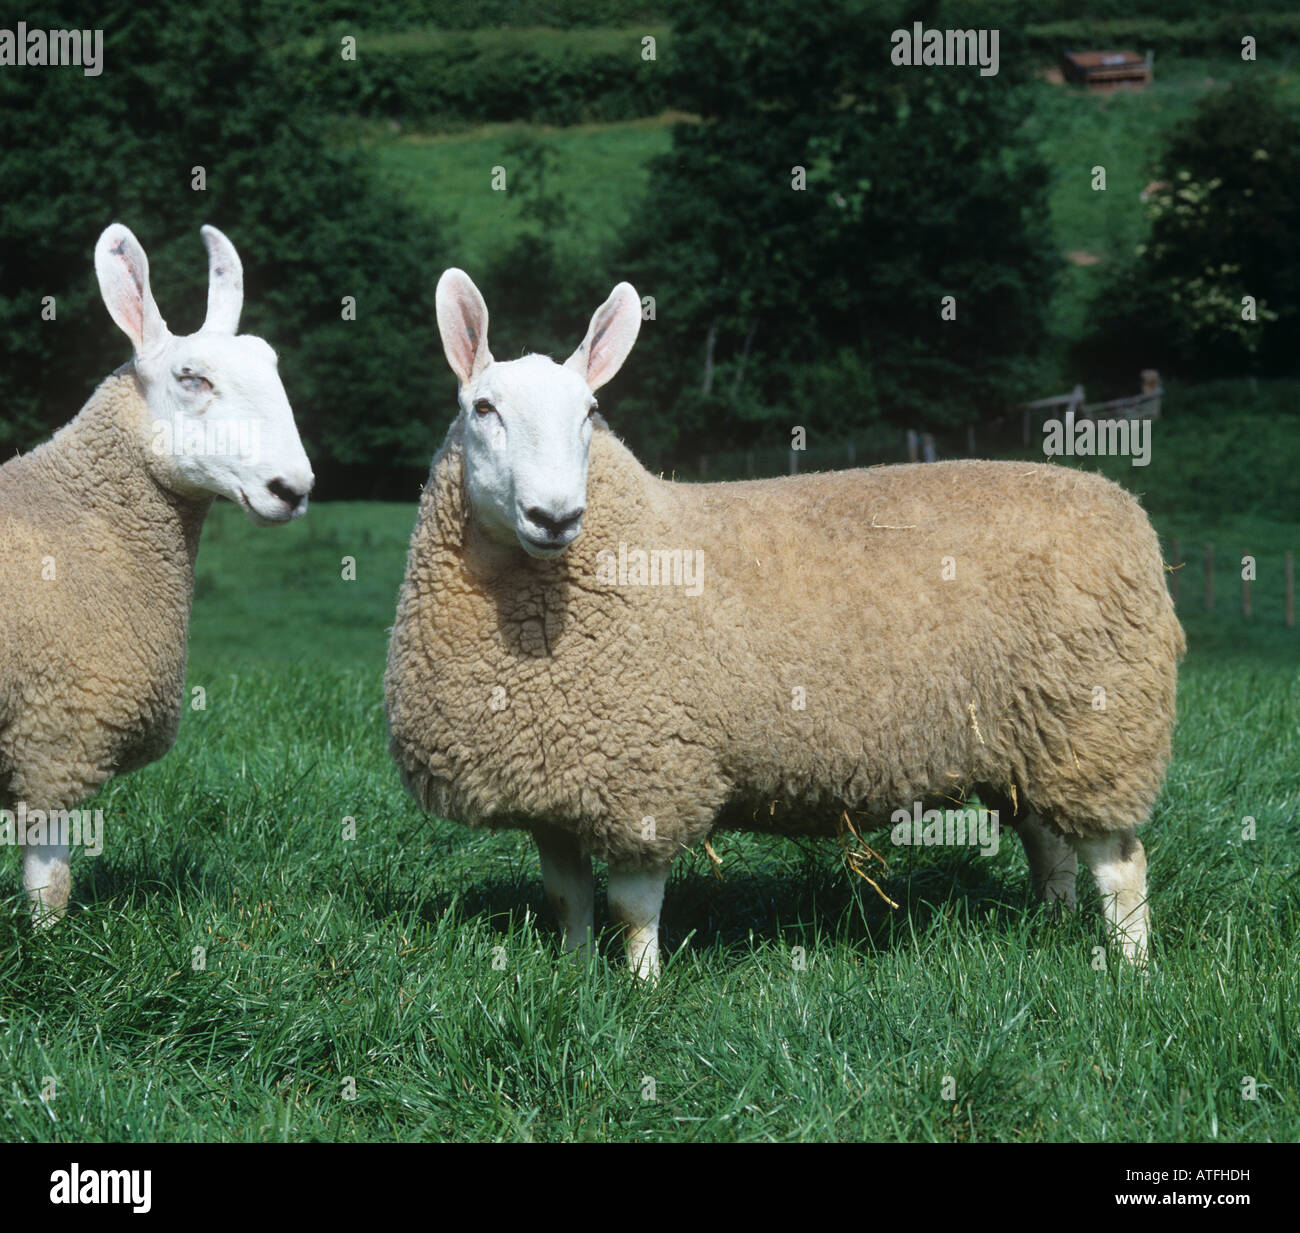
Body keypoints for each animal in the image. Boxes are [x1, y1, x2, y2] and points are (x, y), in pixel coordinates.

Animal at [379, 271, 1185, 983]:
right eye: (483, 407)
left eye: (589, 411)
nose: (555, 516)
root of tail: (1125, 506)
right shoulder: (553, 783)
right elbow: (567, 899)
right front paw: (575, 977)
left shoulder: (650, 775)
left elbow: (634, 908)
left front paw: (642, 988)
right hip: (1035, 734)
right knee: (1050, 843)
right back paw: (1053, 923)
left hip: (1101, 724)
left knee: (1120, 863)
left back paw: (1130, 969)